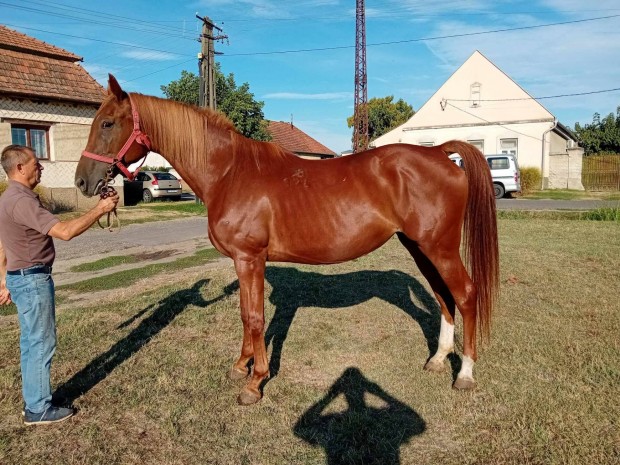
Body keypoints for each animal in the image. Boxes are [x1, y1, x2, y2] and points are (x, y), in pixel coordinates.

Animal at [75, 74, 498, 404]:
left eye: (108, 123)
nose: (82, 181)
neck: (229, 173)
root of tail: (440, 153)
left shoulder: (249, 258)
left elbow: (255, 317)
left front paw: (255, 383)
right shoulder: (243, 261)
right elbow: (246, 315)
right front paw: (240, 367)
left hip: (440, 248)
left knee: (465, 294)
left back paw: (464, 374)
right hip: (419, 248)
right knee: (443, 297)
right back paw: (438, 360)